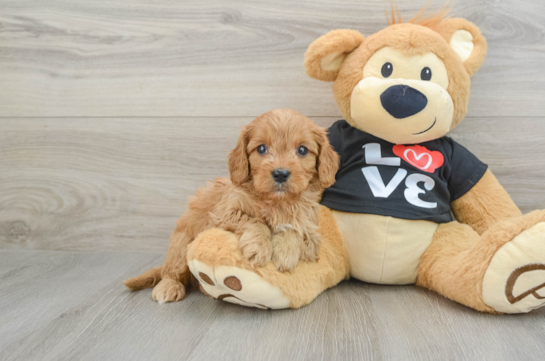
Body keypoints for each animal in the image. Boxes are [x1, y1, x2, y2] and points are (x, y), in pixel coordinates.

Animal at [125, 108, 338, 302]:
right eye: (261, 148)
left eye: (302, 150)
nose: (280, 173)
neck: (277, 202)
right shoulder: (221, 214)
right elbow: (253, 220)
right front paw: (259, 246)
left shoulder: (311, 232)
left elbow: (296, 229)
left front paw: (286, 253)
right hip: (181, 244)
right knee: (172, 272)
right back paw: (169, 287)